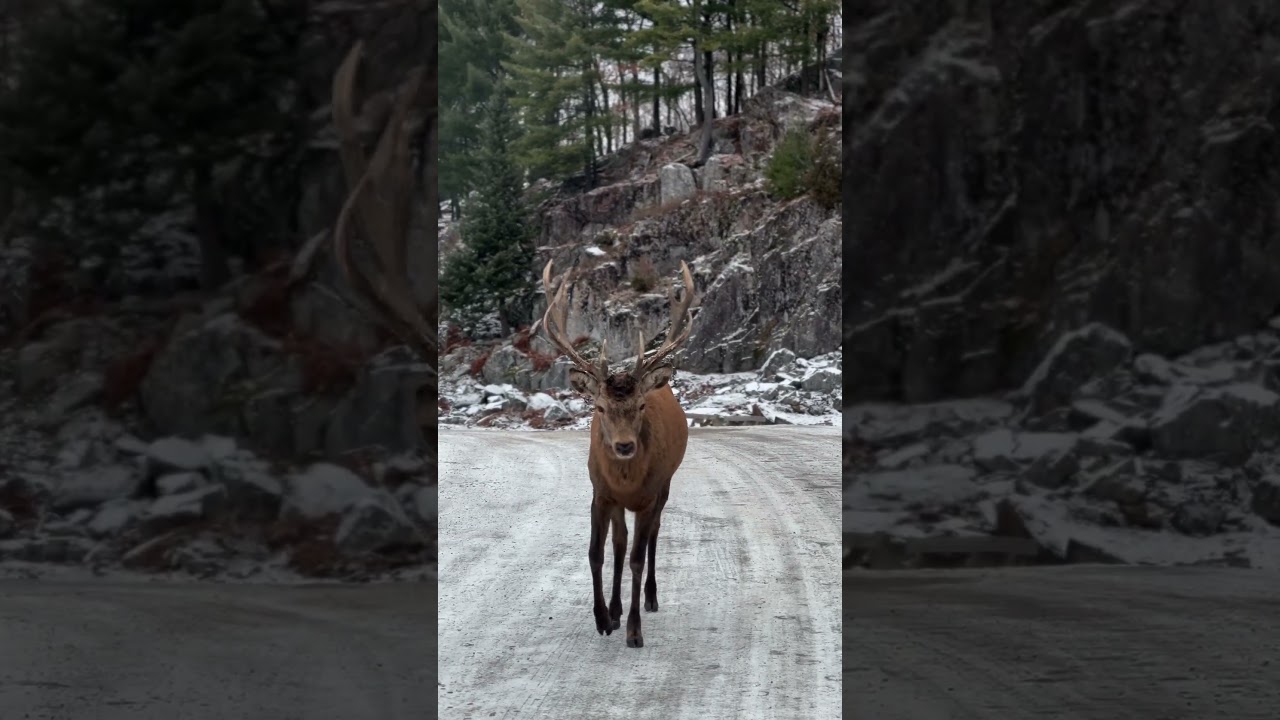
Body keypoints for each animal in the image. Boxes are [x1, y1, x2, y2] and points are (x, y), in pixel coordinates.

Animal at [537, 258, 697, 648]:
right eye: (599, 407)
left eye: (640, 406)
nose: (624, 445)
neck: (627, 482)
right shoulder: (600, 492)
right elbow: (597, 552)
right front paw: (602, 618)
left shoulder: (649, 495)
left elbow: (638, 558)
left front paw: (634, 631)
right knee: (619, 543)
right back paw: (615, 608)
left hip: (665, 486)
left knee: (652, 536)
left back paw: (649, 598)